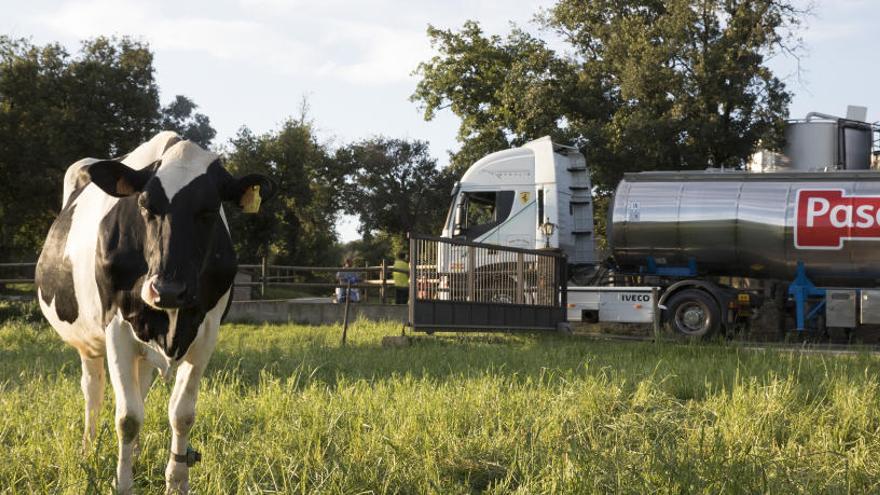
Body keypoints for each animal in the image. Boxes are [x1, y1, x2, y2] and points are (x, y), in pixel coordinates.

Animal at [36, 133, 274, 495]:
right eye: (146, 206)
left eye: (209, 211)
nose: (168, 290)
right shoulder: (116, 327)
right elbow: (127, 418)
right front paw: (122, 484)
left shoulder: (207, 331)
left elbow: (182, 413)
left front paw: (176, 482)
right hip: (89, 342)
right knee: (93, 391)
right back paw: (88, 451)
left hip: (143, 350)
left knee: (140, 389)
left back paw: (133, 453)